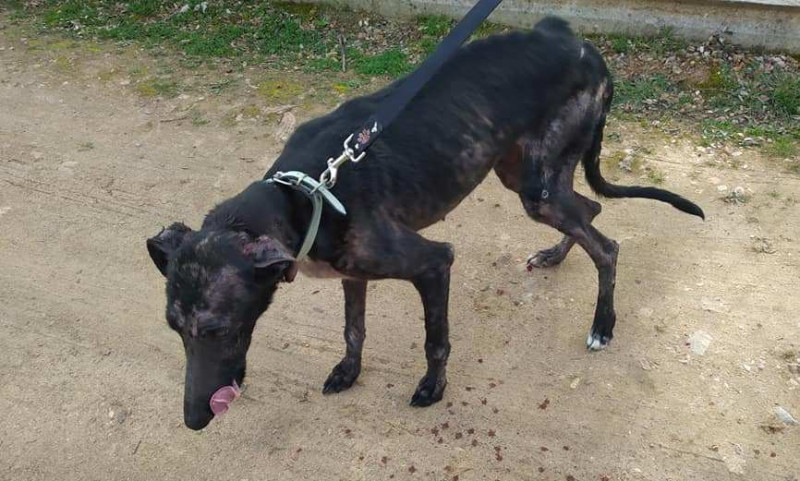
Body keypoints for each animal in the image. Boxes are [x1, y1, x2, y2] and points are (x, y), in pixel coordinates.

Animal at [147, 17, 703, 430]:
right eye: (174, 327)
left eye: (216, 329)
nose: (194, 420)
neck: (303, 194)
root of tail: (582, 45)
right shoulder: (352, 272)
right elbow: (353, 330)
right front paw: (348, 372)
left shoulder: (432, 263)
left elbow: (435, 339)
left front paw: (433, 388)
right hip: (526, 175)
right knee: (589, 213)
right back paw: (553, 255)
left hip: (538, 185)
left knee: (606, 245)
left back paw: (602, 326)